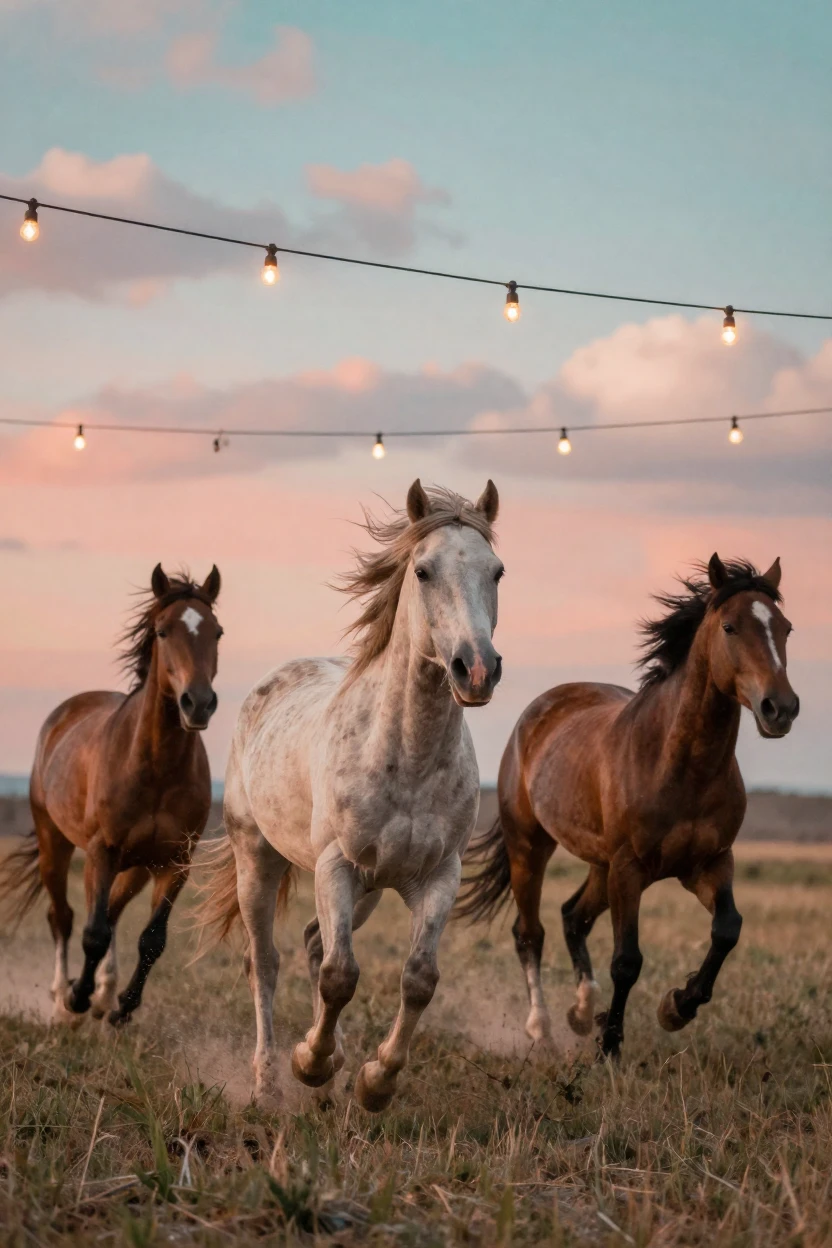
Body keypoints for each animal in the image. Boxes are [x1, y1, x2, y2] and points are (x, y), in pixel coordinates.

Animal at [0, 565, 222, 1027]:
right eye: (162, 631)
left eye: (217, 632)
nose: (198, 704)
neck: (156, 768)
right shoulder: (102, 850)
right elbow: (93, 933)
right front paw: (76, 998)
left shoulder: (175, 861)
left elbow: (152, 938)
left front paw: (121, 1006)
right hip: (56, 844)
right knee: (64, 917)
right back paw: (62, 1000)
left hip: (135, 865)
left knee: (113, 913)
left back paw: (103, 993)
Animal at [197, 480, 503, 1111]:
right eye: (423, 570)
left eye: (497, 571)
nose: (477, 668)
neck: (406, 758)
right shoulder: (335, 865)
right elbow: (340, 976)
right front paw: (308, 1064)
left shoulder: (438, 875)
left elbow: (418, 979)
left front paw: (372, 1080)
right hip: (258, 861)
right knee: (266, 961)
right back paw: (269, 1081)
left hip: (366, 892)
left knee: (316, 943)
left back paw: (331, 1064)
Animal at [457, 554, 798, 1060]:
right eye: (730, 627)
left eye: (786, 628)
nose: (781, 708)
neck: (680, 765)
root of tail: (538, 710)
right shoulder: (630, 868)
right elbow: (627, 961)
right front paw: (611, 1045)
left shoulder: (709, 864)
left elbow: (727, 929)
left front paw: (677, 1006)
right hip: (530, 848)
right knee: (530, 932)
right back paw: (543, 1030)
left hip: (600, 866)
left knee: (572, 917)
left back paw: (581, 1013)